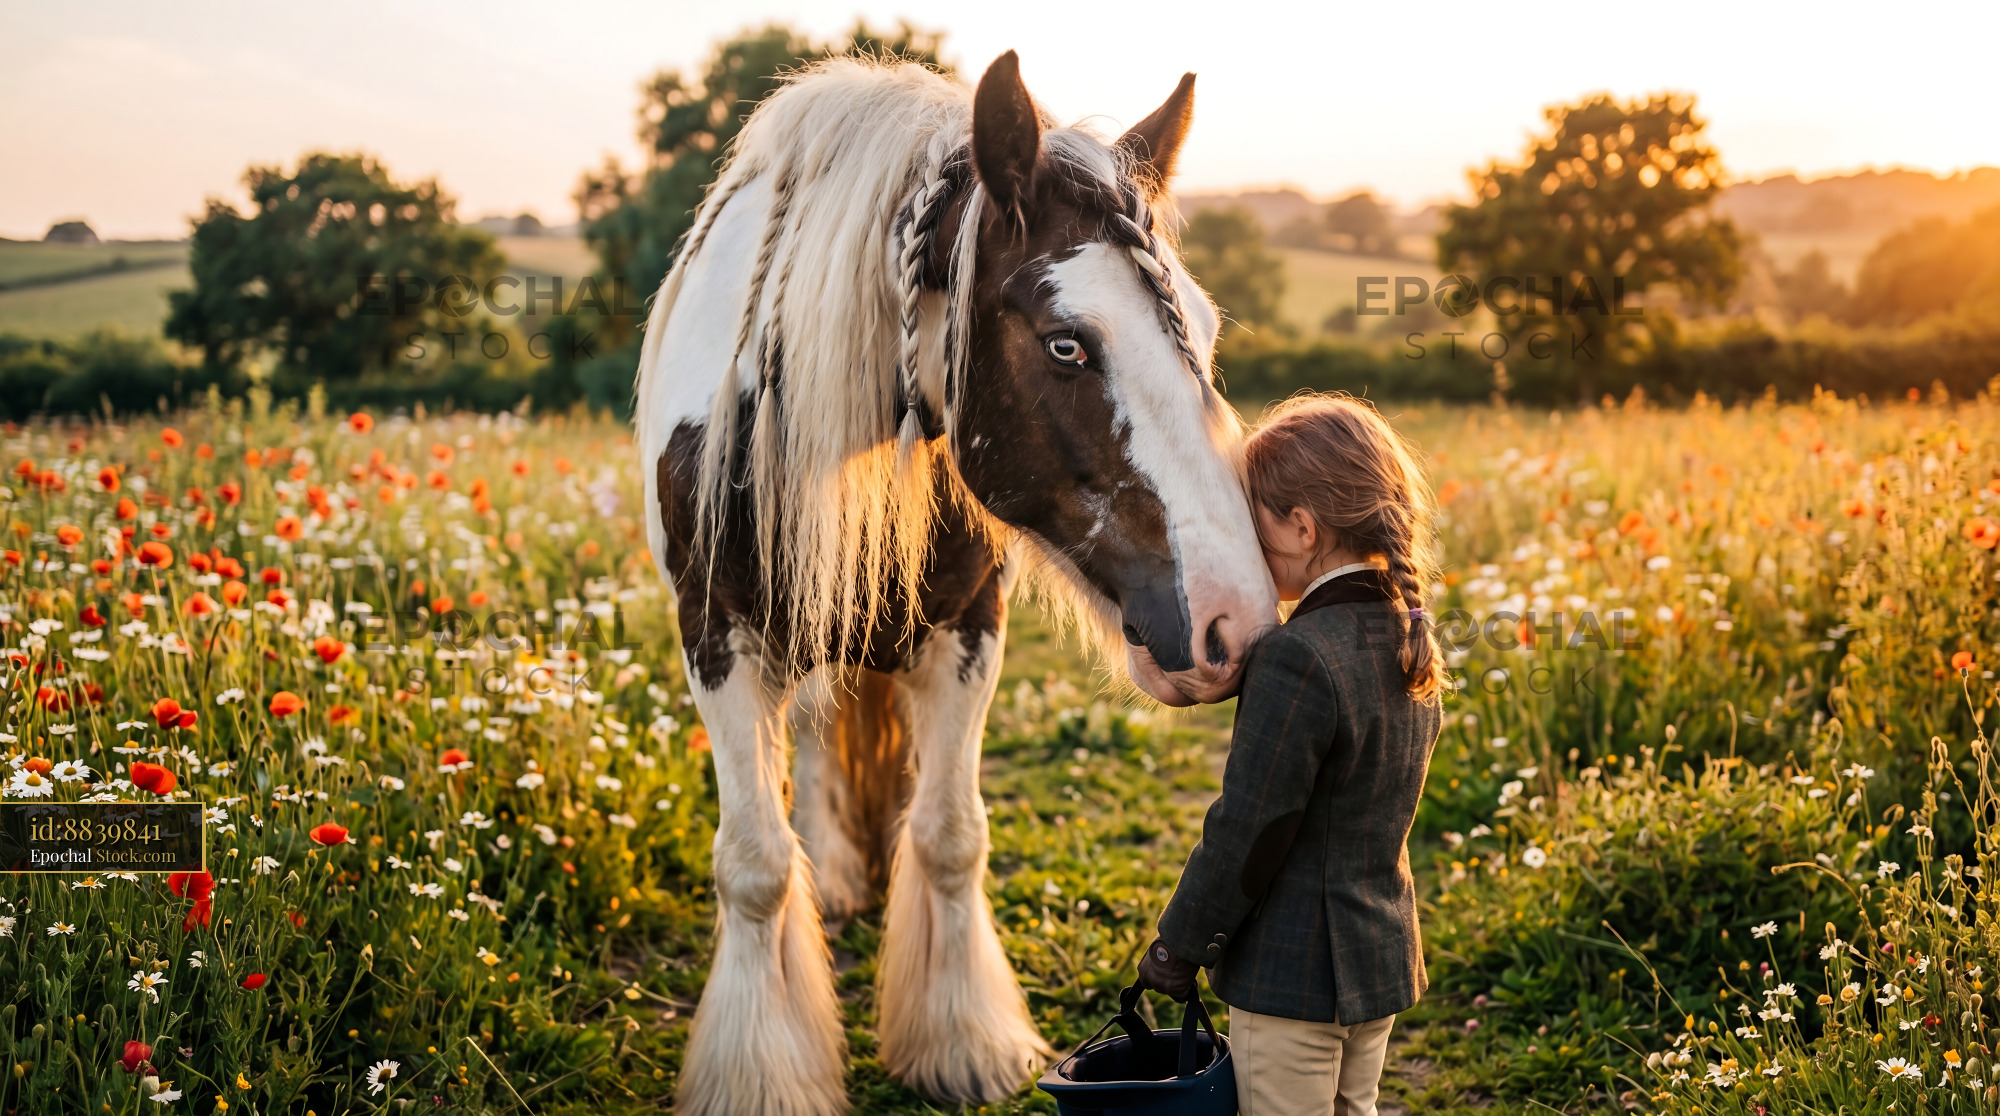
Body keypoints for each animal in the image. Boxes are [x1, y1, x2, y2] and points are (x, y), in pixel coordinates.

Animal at [636, 50, 1279, 1115]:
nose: (1237, 620)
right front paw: (761, 1076)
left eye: (1204, 324)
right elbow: (755, 865)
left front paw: (960, 1041)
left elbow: (947, 834)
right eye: (1066, 342)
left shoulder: (968, 631)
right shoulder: (716, 636)